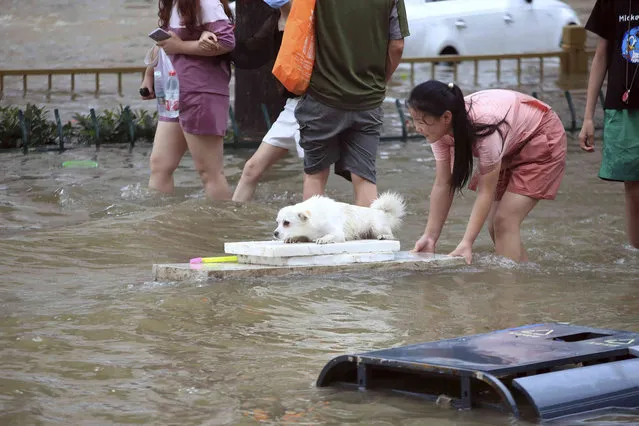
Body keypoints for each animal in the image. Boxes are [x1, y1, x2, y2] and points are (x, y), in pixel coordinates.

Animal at [274, 191, 404, 245]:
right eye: (277, 222)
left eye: (286, 223)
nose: (275, 233)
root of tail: (381, 212)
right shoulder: (308, 234)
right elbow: (302, 236)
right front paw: (293, 238)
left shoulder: (338, 233)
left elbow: (330, 235)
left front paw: (323, 239)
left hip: (377, 227)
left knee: (392, 236)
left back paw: (384, 236)